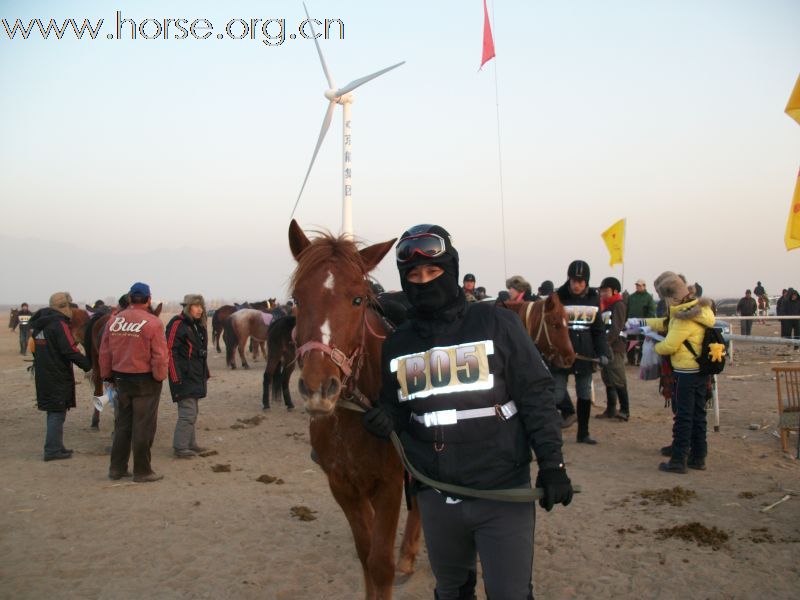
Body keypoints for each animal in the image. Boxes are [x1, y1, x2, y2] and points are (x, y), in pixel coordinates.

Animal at [290, 221, 424, 600]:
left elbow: (380, 564)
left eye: (357, 299)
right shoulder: (343, 486)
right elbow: (366, 556)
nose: (319, 387)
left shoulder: (390, 484)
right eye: (296, 300)